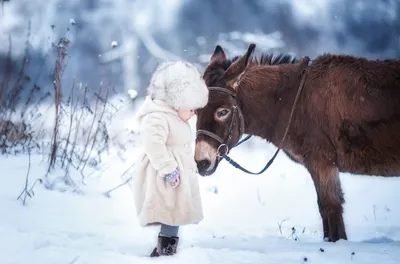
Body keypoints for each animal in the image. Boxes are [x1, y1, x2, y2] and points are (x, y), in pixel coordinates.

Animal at [195, 43, 400, 243]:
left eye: (222, 112)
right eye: (196, 111)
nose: (201, 163)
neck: (293, 100)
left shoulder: (322, 163)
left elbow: (330, 208)